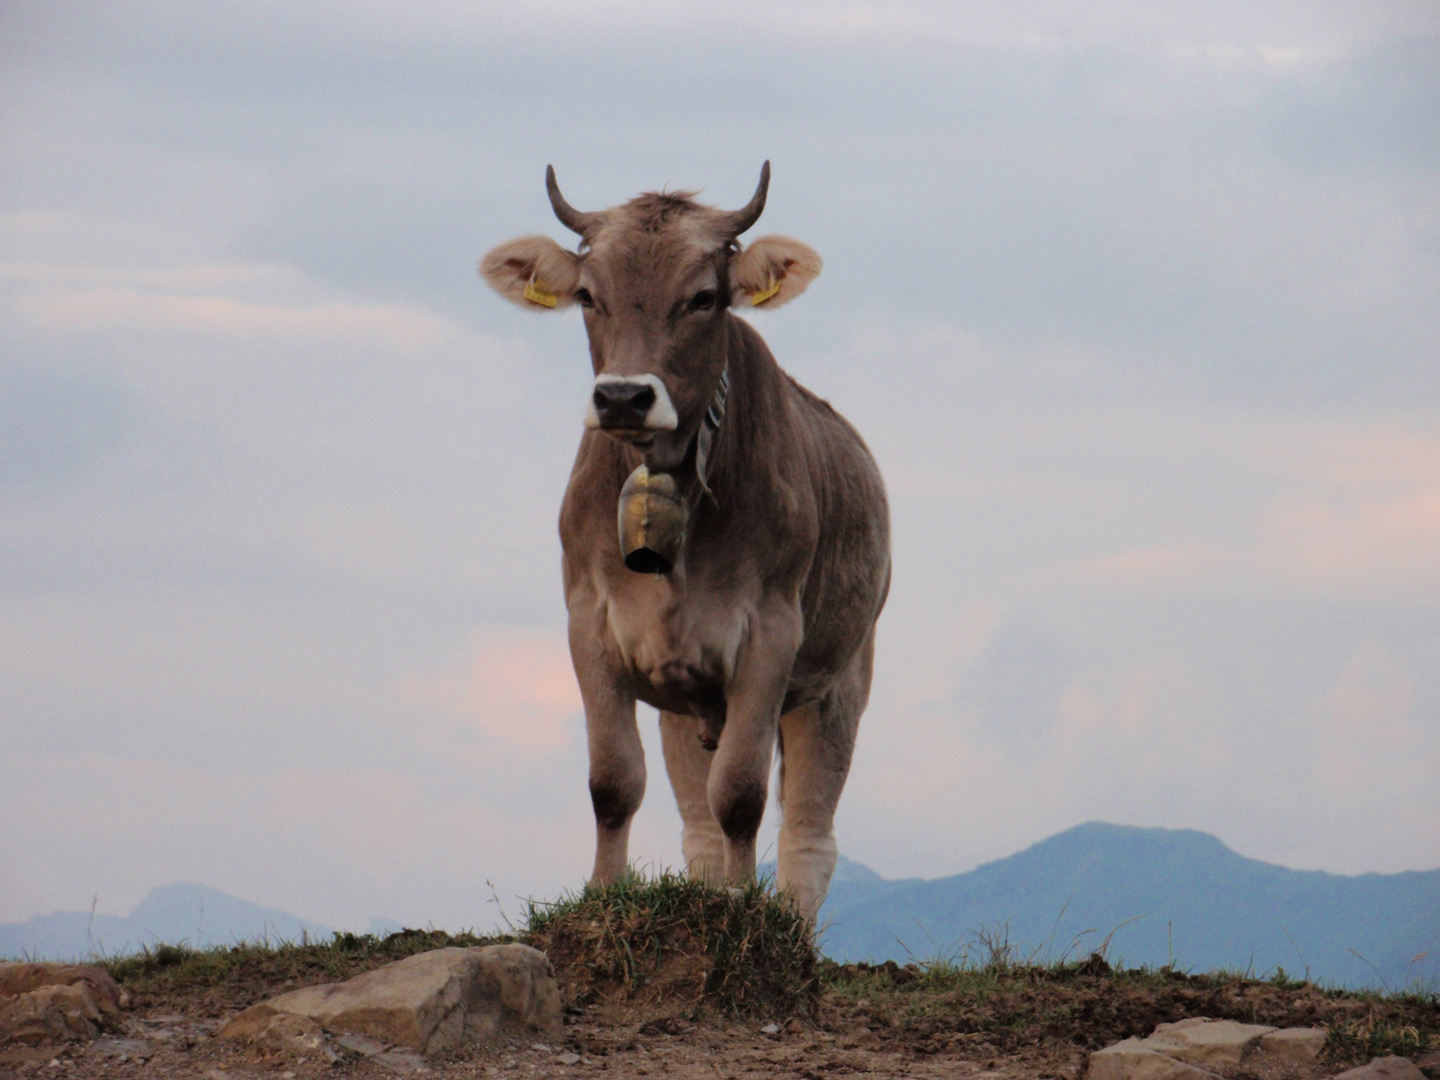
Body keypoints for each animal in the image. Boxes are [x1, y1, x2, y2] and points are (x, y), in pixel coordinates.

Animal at [480, 162, 887, 921]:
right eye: (588, 295)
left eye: (702, 298)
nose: (622, 397)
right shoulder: (591, 623)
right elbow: (614, 781)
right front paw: (602, 893)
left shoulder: (770, 631)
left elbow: (742, 793)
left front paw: (739, 907)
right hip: (686, 698)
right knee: (697, 825)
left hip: (841, 679)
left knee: (809, 837)